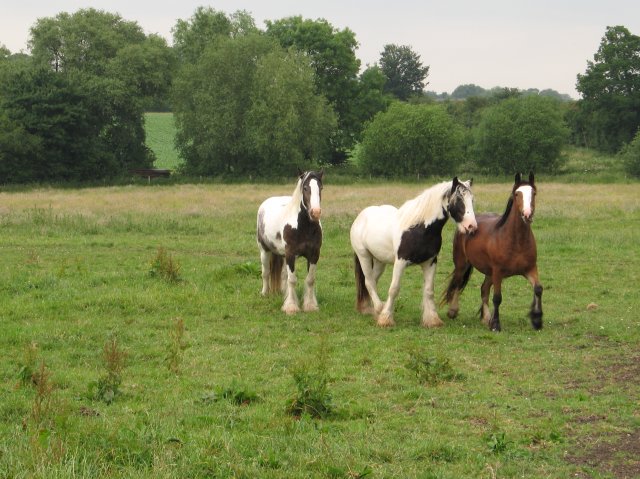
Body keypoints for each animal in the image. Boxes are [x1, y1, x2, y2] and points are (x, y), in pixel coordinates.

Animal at [257, 170, 324, 314]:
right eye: (305, 188)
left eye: (321, 188)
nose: (315, 213)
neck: (302, 227)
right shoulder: (291, 255)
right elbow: (292, 280)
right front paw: (291, 307)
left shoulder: (314, 255)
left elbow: (310, 279)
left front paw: (310, 305)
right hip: (264, 251)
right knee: (266, 272)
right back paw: (264, 293)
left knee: (283, 276)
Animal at [350, 178, 477, 328]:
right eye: (458, 200)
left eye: (472, 200)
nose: (472, 226)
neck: (419, 228)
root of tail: (361, 216)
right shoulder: (400, 262)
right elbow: (394, 289)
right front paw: (386, 319)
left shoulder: (430, 262)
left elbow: (429, 290)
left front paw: (432, 320)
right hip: (363, 256)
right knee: (369, 281)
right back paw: (379, 308)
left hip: (379, 260)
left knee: (372, 281)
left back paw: (371, 308)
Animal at [442, 172, 543, 332]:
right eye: (517, 194)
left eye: (533, 193)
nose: (527, 214)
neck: (516, 241)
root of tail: (467, 226)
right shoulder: (498, 272)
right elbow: (497, 298)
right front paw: (496, 325)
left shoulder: (530, 269)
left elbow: (538, 289)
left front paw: (537, 320)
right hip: (462, 264)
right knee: (458, 283)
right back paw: (453, 311)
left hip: (489, 272)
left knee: (483, 289)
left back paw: (486, 318)